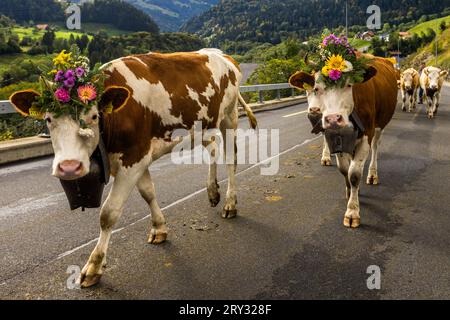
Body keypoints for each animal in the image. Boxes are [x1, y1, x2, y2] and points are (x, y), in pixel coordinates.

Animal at [9, 48, 256, 288]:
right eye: (49, 119)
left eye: (94, 116)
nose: (69, 166)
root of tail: (222, 54)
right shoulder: (136, 159)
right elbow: (148, 192)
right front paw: (159, 228)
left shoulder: (133, 159)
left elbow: (108, 213)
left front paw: (94, 267)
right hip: (205, 125)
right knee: (213, 148)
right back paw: (212, 192)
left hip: (229, 117)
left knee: (231, 160)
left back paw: (230, 204)